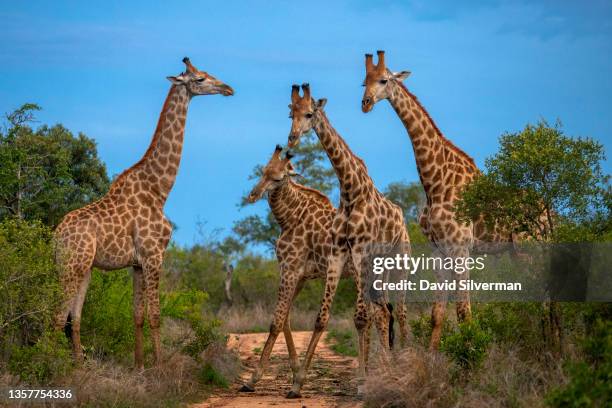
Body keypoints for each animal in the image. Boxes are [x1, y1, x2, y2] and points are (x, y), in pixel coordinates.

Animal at [53, 56, 234, 366]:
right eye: (199, 78)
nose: (228, 88)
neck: (159, 190)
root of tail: (54, 239)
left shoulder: (137, 263)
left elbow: (137, 315)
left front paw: (139, 365)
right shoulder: (154, 255)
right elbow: (156, 316)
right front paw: (158, 367)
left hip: (83, 267)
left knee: (73, 317)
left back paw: (78, 366)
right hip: (71, 266)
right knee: (55, 316)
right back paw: (50, 364)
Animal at [239, 146, 354, 392]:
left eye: (278, 178)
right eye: (263, 171)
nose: (253, 195)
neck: (289, 218)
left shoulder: (289, 269)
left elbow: (276, 322)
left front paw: (253, 379)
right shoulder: (300, 274)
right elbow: (286, 319)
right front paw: (294, 371)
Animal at [286, 83, 412, 398]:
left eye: (309, 113)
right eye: (290, 113)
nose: (291, 139)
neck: (349, 190)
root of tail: (403, 222)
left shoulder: (360, 253)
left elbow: (360, 318)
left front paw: (362, 384)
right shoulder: (337, 253)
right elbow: (321, 318)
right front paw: (297, 383)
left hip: (399, 262)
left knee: (400, 312)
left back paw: (405, 364)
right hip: (378, 269)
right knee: (384, 312)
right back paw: (389, 368)